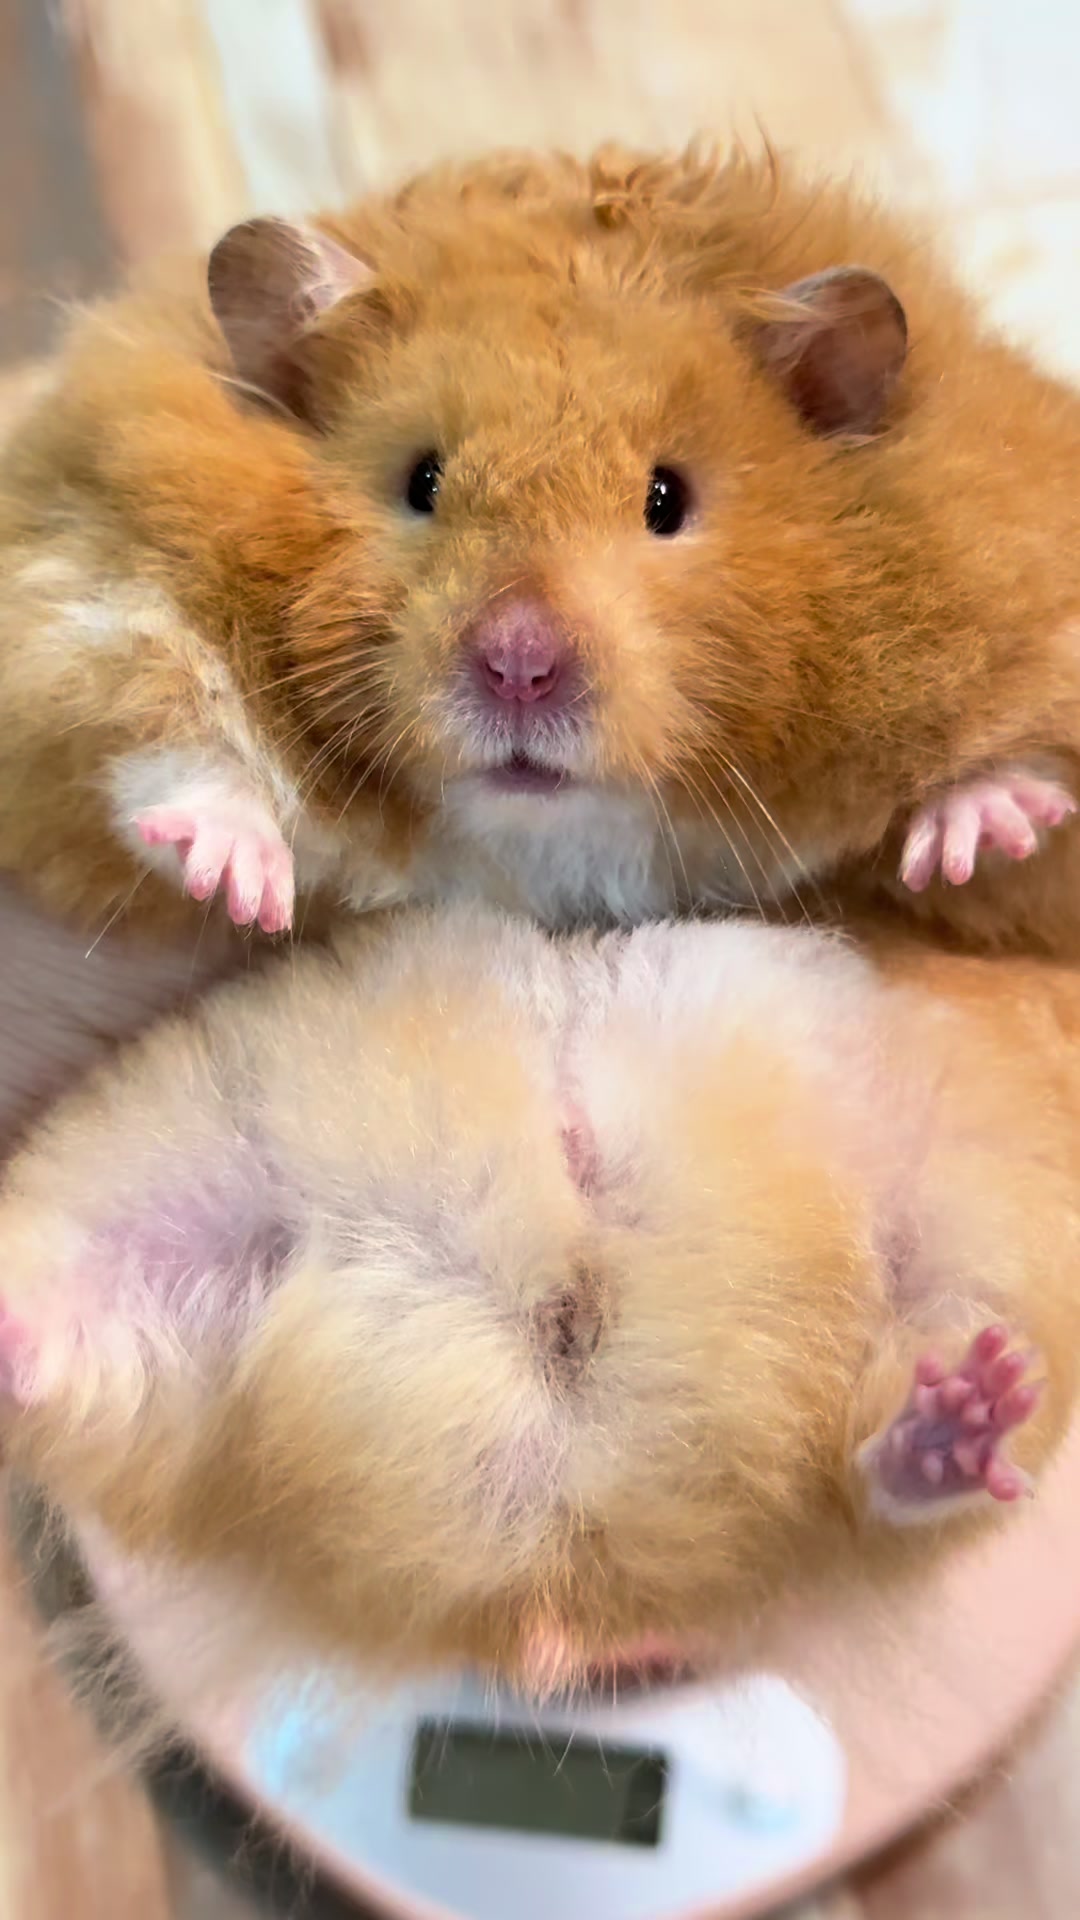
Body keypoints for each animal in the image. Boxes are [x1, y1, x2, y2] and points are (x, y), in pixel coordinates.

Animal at [3, 143, 1080, 953]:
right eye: (423, 481)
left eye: (664, 499)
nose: (519, 668)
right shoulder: (81, 574)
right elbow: (158, 728)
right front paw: (235, 880)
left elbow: (1010, 761)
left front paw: (984, 828)